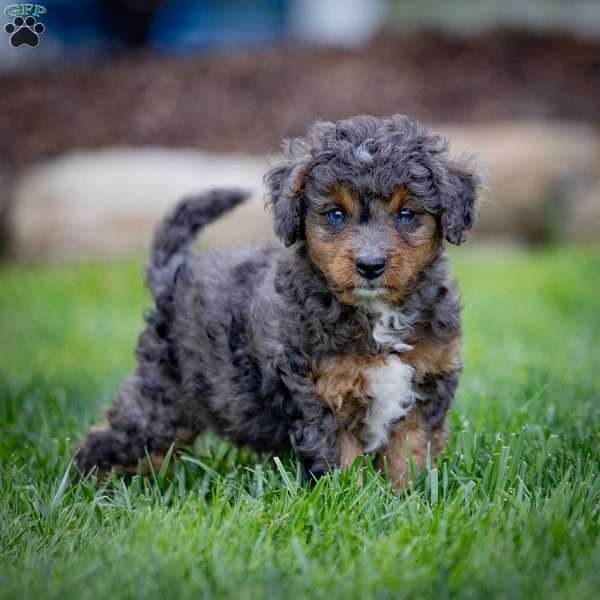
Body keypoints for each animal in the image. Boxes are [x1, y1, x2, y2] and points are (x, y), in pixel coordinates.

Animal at [78, 115, 482, 490]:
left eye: (407, 214)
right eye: (336, 214)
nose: (370, 265)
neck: (377, 315)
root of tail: (175, 275)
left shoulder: (425, 387)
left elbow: (410, 454)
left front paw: (409, 498)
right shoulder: (323, 397)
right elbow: (342, 467)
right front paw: (353, 501)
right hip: (162, 399)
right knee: (113, 441)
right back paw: (92, 487)